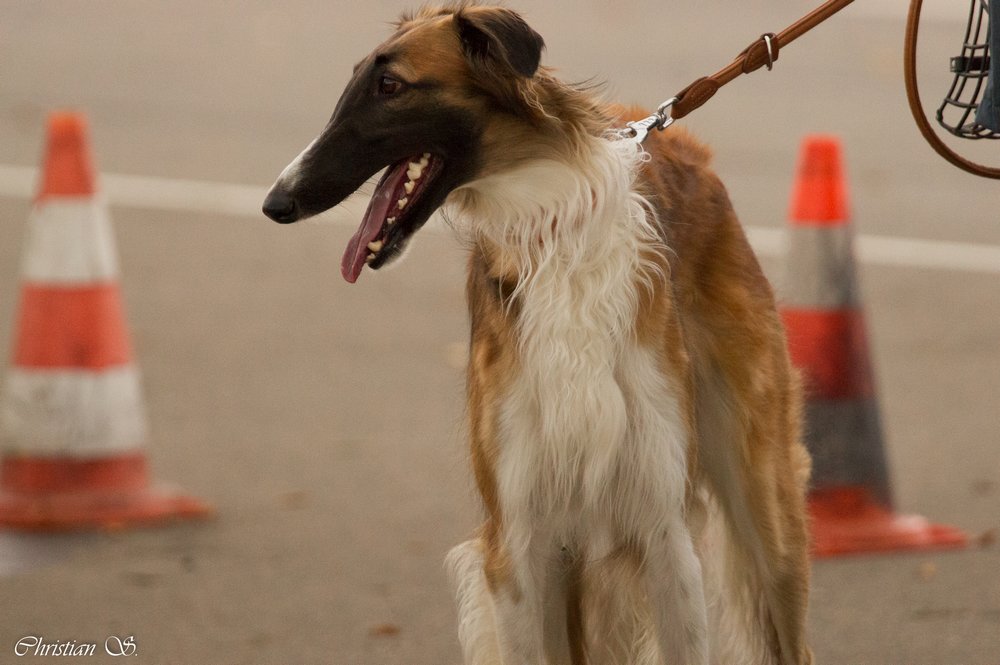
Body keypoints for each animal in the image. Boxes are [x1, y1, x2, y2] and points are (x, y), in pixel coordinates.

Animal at [263, 4, 813, 664]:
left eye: (390, 85)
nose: (276, 202)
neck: (551, 236)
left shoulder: (665, 533)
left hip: (765, 509)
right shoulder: (519, 544)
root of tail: (679, 139)